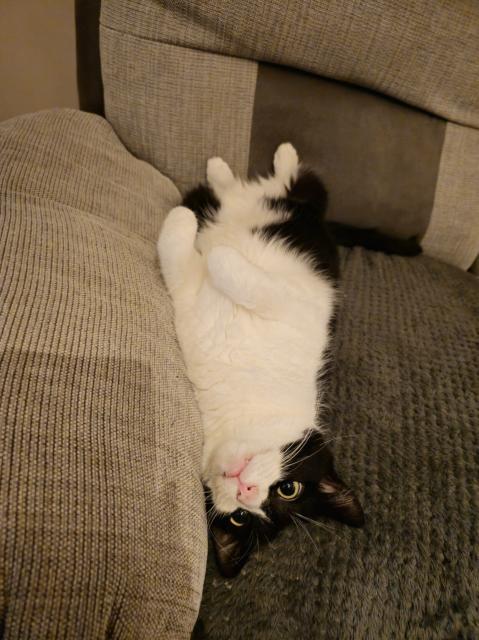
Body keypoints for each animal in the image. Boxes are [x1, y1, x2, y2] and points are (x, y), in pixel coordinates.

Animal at [158, 145, 416, 580]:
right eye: (289, 487)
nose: (247, 492)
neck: (240, 403)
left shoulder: (292, 306)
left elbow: (204, 262)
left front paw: (190, 231)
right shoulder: (280, 309)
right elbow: (222, 272)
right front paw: (192, 229)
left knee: (290, 185)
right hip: (298, 204)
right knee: (289, 185)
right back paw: (243, 166)